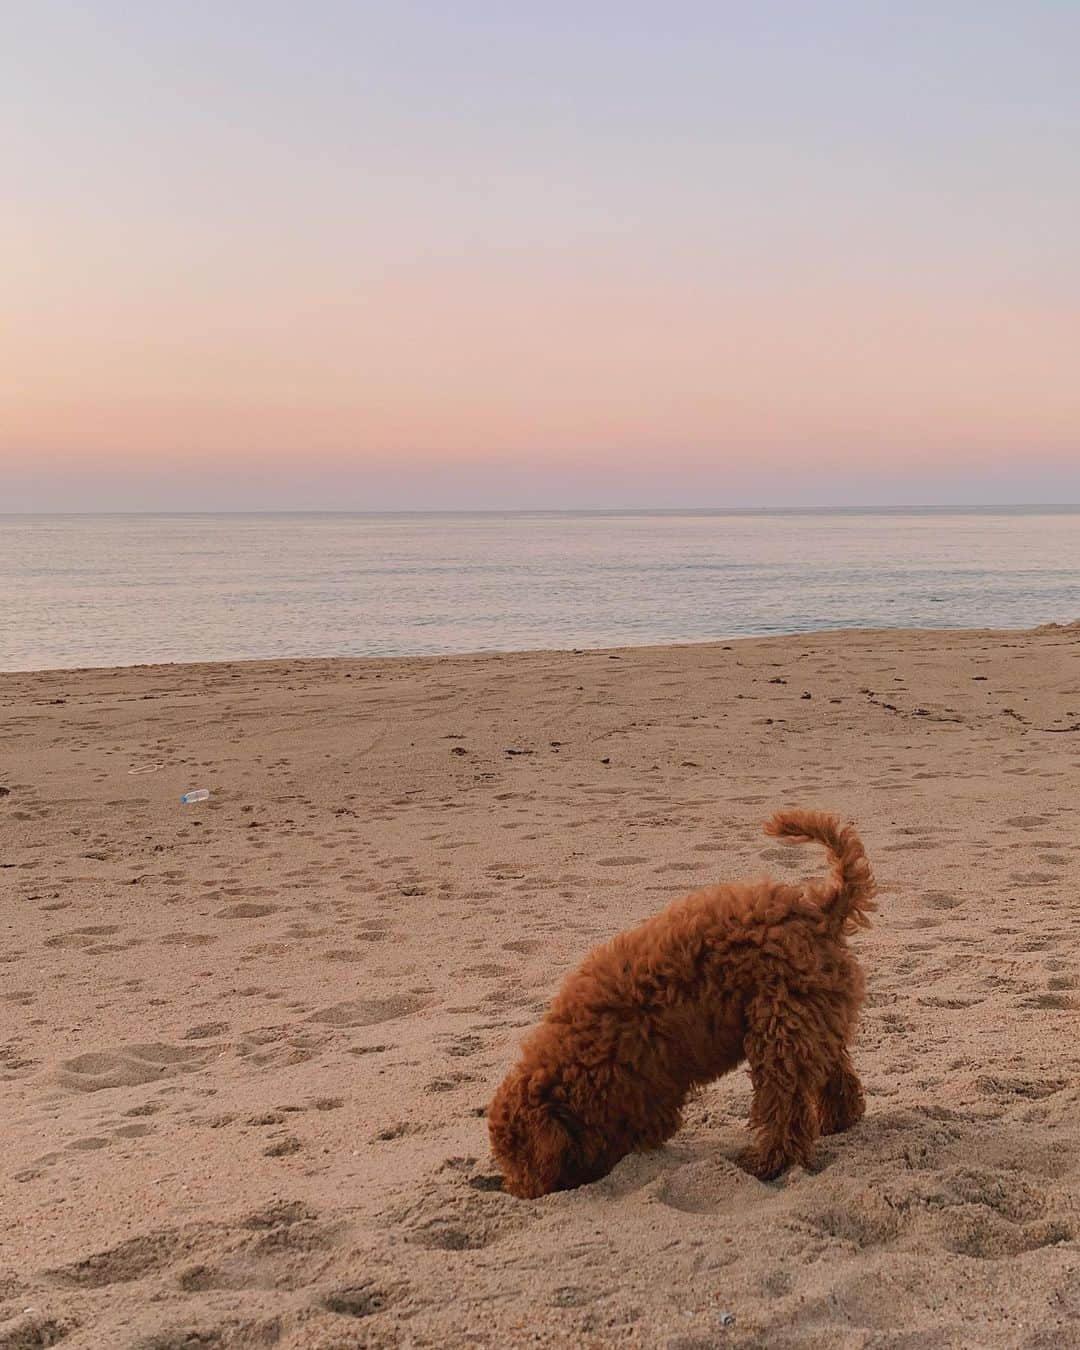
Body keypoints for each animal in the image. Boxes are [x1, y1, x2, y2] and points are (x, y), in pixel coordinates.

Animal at [488, 804, 874, 1198]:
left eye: (522, 1159)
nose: (518, 1192)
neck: (579, 1054)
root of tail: (820, 913)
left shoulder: (643, 1087)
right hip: (814, 1018)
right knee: (835, 1072)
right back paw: (838, 1122)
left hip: (780, 1029)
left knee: (786, 1107)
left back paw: (767, 1162)